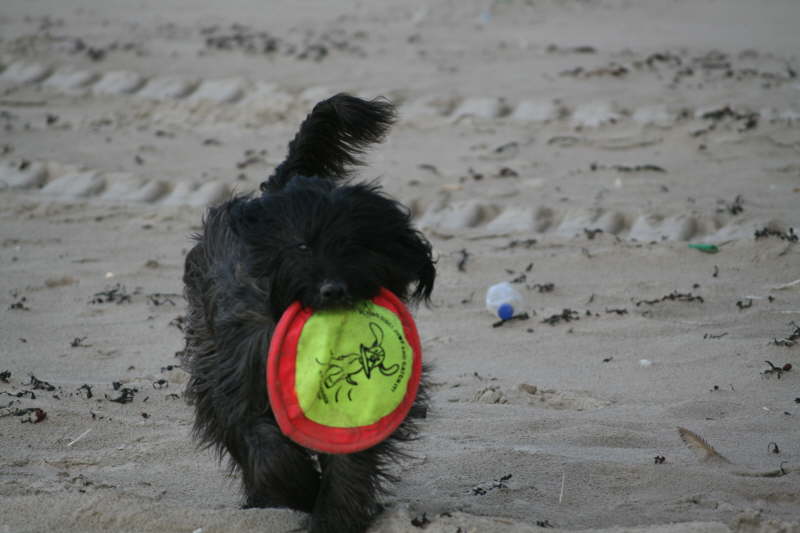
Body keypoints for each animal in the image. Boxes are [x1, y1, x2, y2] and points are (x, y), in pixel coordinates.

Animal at [181, 94, 434, 532]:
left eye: (359, 247)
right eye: (302, 245)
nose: (333, 290)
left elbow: (350, 461)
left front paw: (334, 515)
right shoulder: (236, 376)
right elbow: (264, 444)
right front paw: (298, 490)